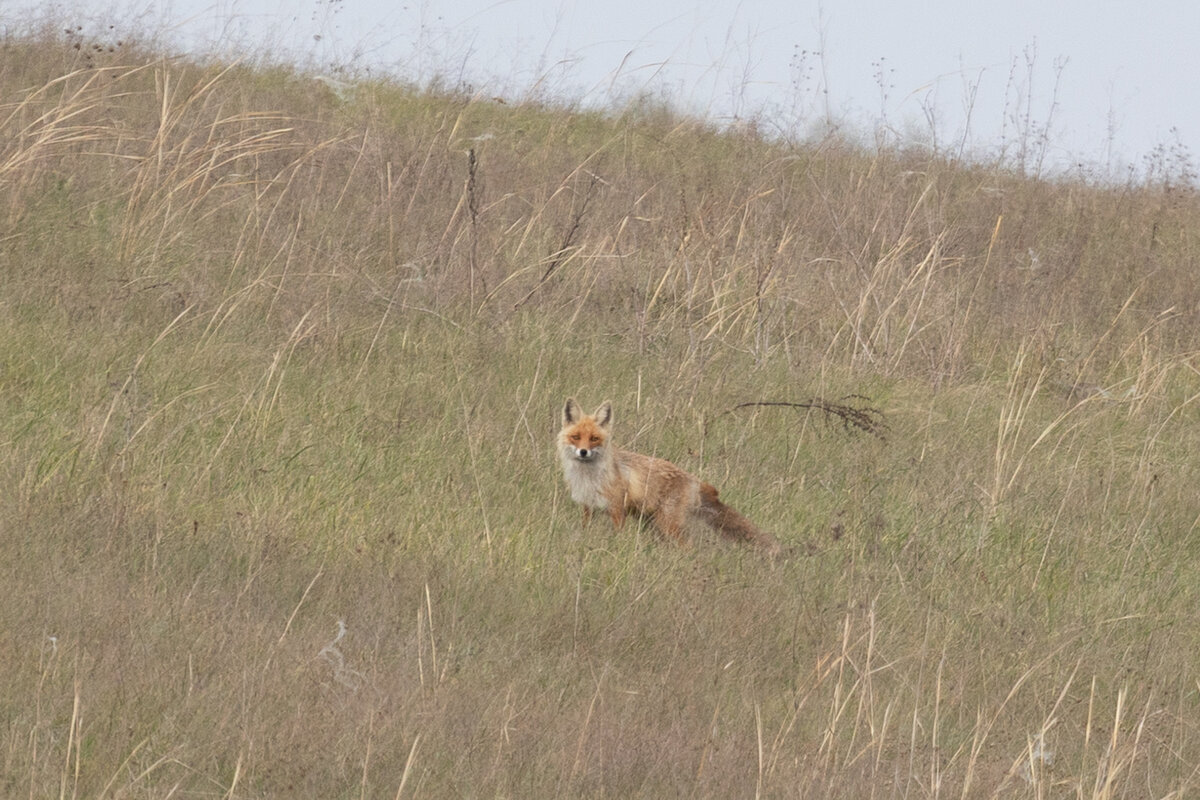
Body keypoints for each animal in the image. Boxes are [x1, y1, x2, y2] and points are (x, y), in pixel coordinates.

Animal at [556, 398, 782, 554]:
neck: (589, 477)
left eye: (594, 439)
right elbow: (585, 529)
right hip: (655, 525)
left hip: (667, 525)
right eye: (576, 437)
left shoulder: (617, 509)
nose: (583, 452)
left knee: (688, 547)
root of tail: (694, 480)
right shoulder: (588, 508)